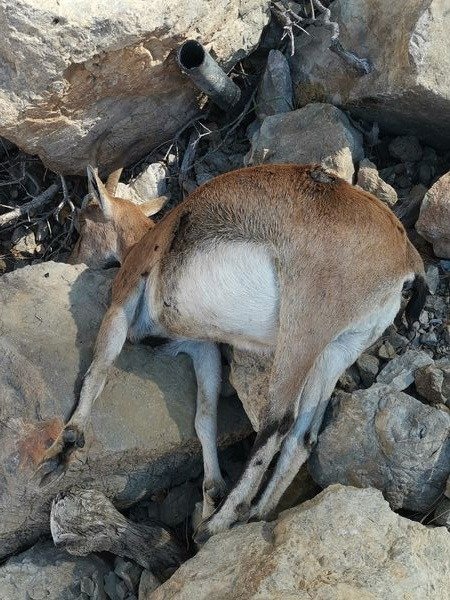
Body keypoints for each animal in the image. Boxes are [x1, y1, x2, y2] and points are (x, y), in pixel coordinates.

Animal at [38, 163, 426, 544]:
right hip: (335, 353)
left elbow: (99, 368)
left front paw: (65, 445)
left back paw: (219, 523)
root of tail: (408, 260)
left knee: (278, 423)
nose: (71, 258)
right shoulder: (203, 347)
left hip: (302, 332)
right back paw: (255, 514)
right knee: (302, 437)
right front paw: (211, 489)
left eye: (81, 224)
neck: (153, 238)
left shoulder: (123, 298)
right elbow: (204, 419)